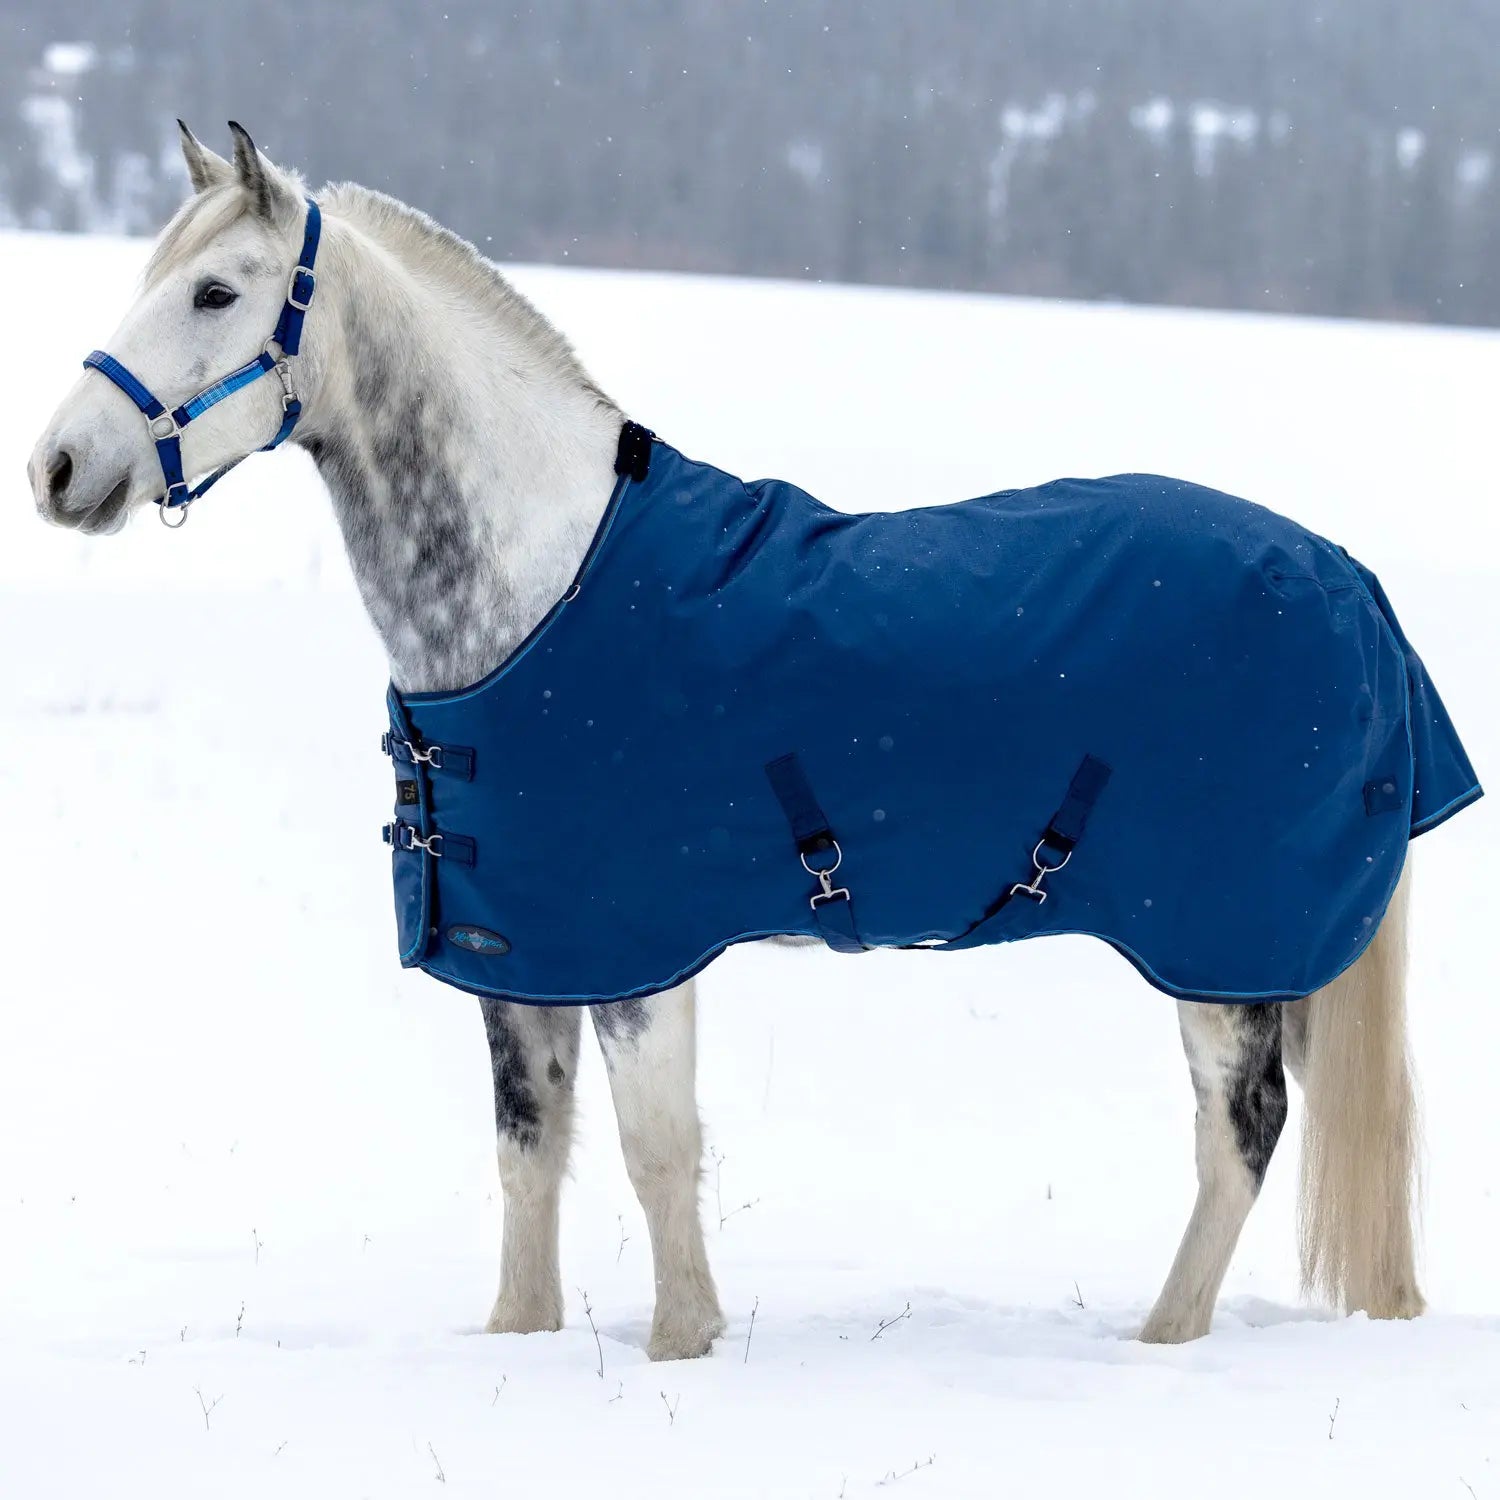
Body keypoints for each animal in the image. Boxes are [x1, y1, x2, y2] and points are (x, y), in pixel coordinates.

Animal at [27, 123, 1436, 1360]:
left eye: (217, 290)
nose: (57, 468)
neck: (541, 591)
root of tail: (1346, 576)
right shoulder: (525, 960)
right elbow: (528, 1154)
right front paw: (522, 1342)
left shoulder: (640, 953)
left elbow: (657, 1153)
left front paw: (682, 1346)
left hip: (1216, 949)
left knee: (1241, 1130)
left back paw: (1160, 1345)